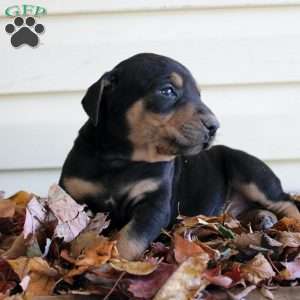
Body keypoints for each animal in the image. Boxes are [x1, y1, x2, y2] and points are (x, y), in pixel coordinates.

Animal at [59, 54, 300, 260]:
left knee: (285, 201)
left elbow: (130, 238)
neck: (122, 158)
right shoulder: (73, 193)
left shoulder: (155, 205)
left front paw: (112, 261)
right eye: (167, 91)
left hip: (251, 173)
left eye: (199, 95)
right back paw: (264, 218)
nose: (214, 126)